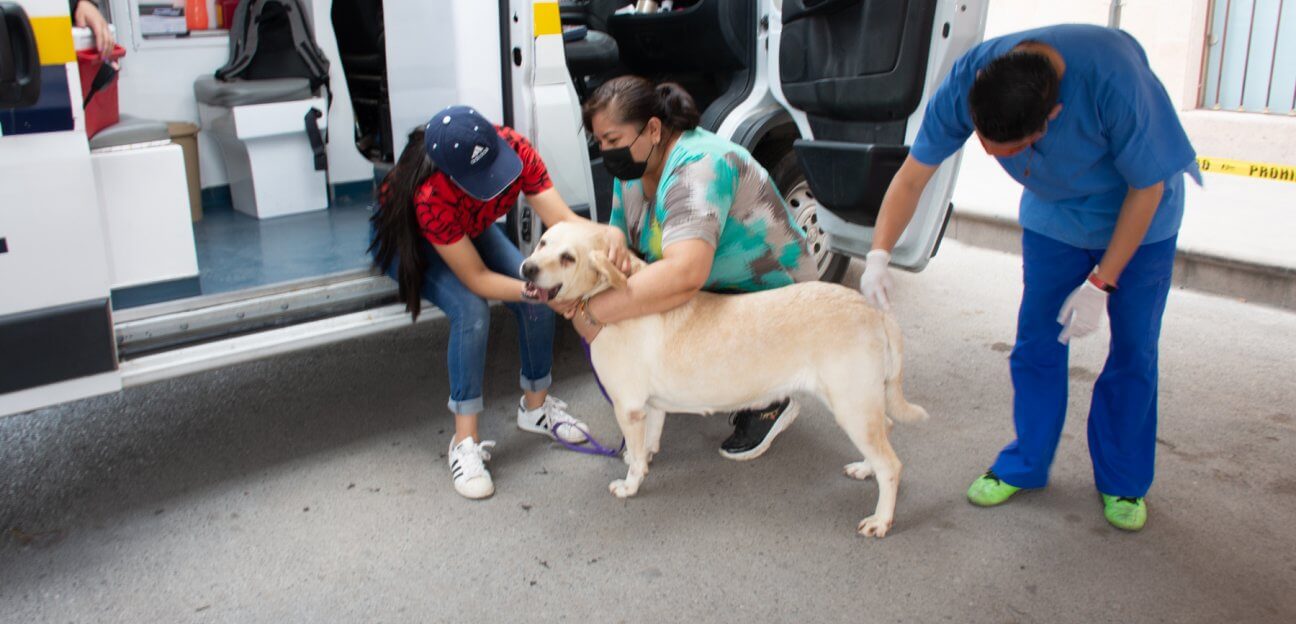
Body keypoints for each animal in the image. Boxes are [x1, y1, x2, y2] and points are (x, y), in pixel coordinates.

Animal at [520, 220, 927, 534]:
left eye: (568, 258)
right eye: (542, 242)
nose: (526, 268)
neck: (612, 293)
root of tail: (873, 310)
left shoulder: (629, 408)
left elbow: (635, 458)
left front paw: (630, 485)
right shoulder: (650, 408)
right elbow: (647, 445)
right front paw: (643, 460)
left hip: (851, 406)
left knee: (892, 465)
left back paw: (881, 520)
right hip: (861, 405)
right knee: (887, 432)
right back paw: (864, 468)